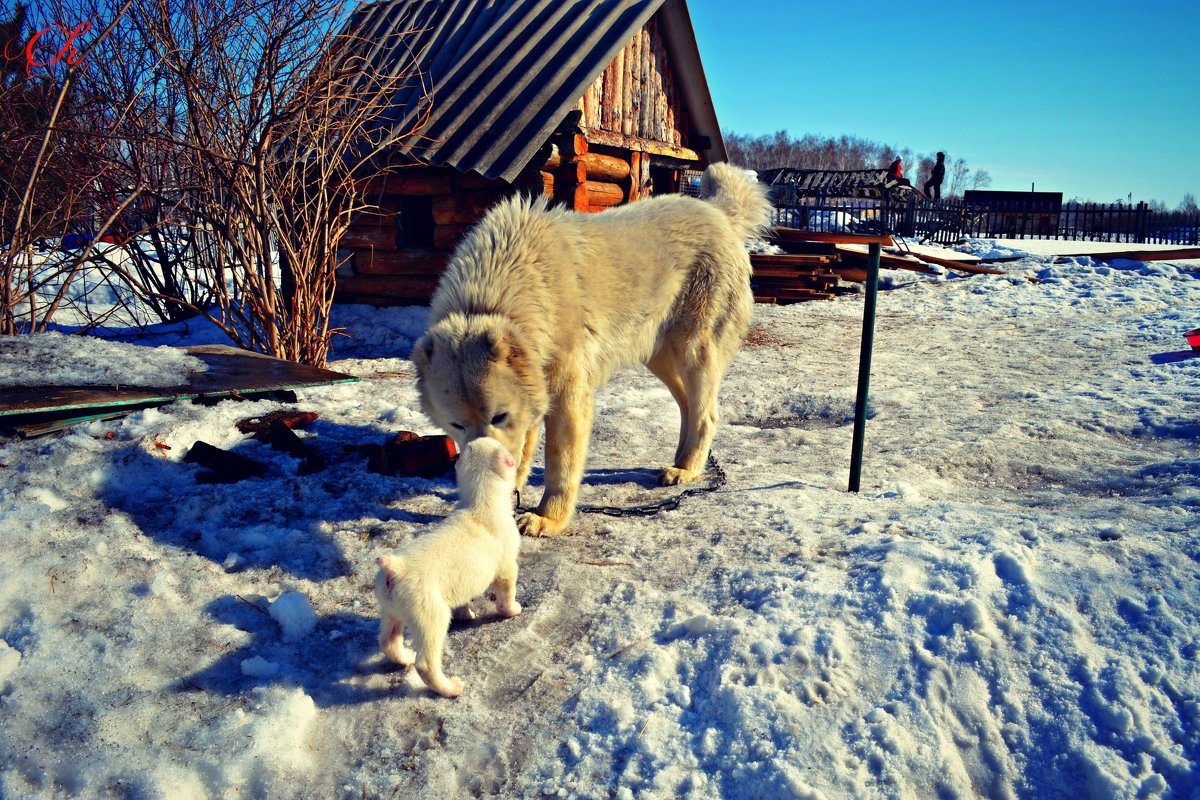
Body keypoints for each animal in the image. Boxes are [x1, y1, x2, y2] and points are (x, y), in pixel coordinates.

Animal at [372, 438, 523, 695]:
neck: (479, 501)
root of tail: (395, 567)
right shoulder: (506, 569)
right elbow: (506, 593)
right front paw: (512, 610)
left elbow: (464, 600)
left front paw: (466, 614)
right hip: (432, 616)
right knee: (425, 664)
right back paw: (450, 688)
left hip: (392, 611)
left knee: (388, 641)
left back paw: (404, 658)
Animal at [412, 160, 768, 537]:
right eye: (457, 425)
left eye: (498, 416)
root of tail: (718, 213)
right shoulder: (535, 391)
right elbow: (525, 450)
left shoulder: (567, 396)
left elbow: (560, 462)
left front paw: (548, 517)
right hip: (658, 356)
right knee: (688, 405)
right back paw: (681, 460)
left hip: (693, 350)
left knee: (707, 414)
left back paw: (687, 470)